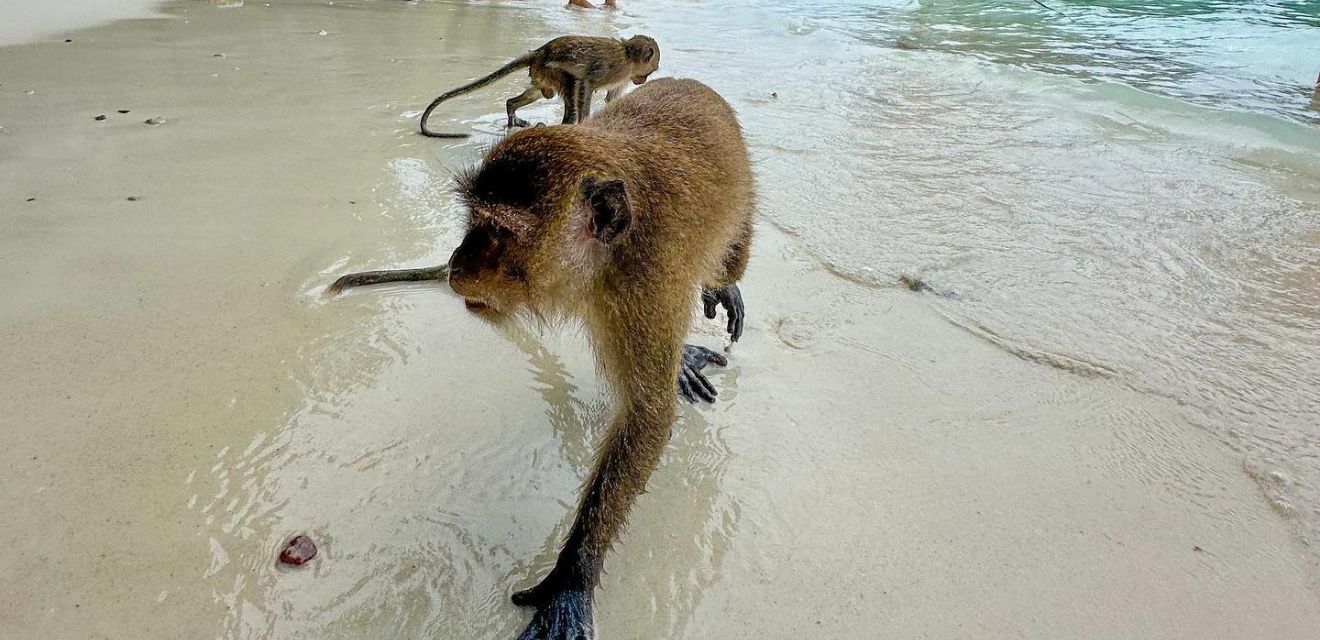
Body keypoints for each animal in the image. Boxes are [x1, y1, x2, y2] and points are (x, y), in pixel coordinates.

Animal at [417, 34, 660, 137]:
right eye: (652, 69)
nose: (643, 80)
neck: (628, 55)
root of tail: (539, 52)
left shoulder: (622, 78)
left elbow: (611, 100)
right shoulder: (614, 68)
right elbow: (586, 82)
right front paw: (586, 123)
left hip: (541, 74)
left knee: (538, 94)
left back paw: (511, 109)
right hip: (550, 69)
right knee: (570, 88)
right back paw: (567, 123)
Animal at [440, 76, 760, 638]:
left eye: (499, 232)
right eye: (475, 221)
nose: (457, 265)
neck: (611, 251)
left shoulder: (647, 283)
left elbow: (648, 414)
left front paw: (573, 574)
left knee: (731, 250)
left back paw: (724, 285)